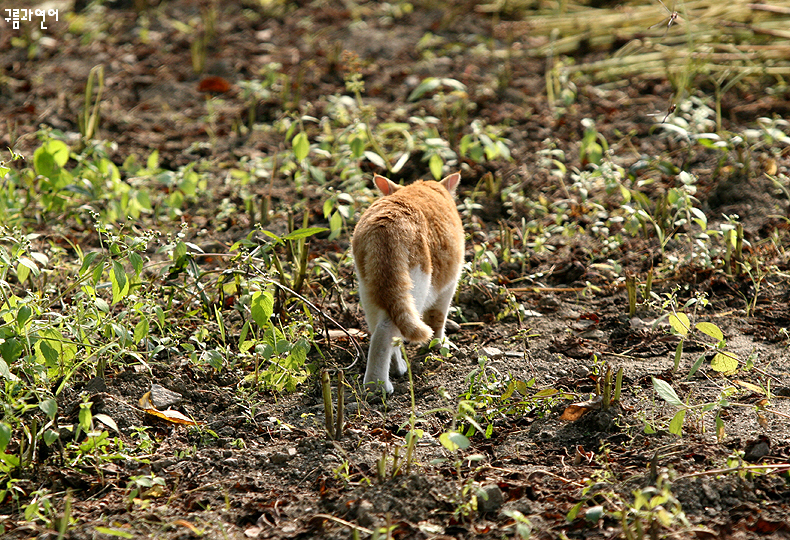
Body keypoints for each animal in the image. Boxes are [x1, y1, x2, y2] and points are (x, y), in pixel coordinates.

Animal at [352, 172, 464, 392]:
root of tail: (384, 226)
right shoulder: (448, 285)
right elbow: (437, 318)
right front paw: (437, 344)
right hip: (417, 287)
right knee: (386, 331)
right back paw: (377, 386)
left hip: (369, 289)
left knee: (379, 326)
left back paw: (396, 368)